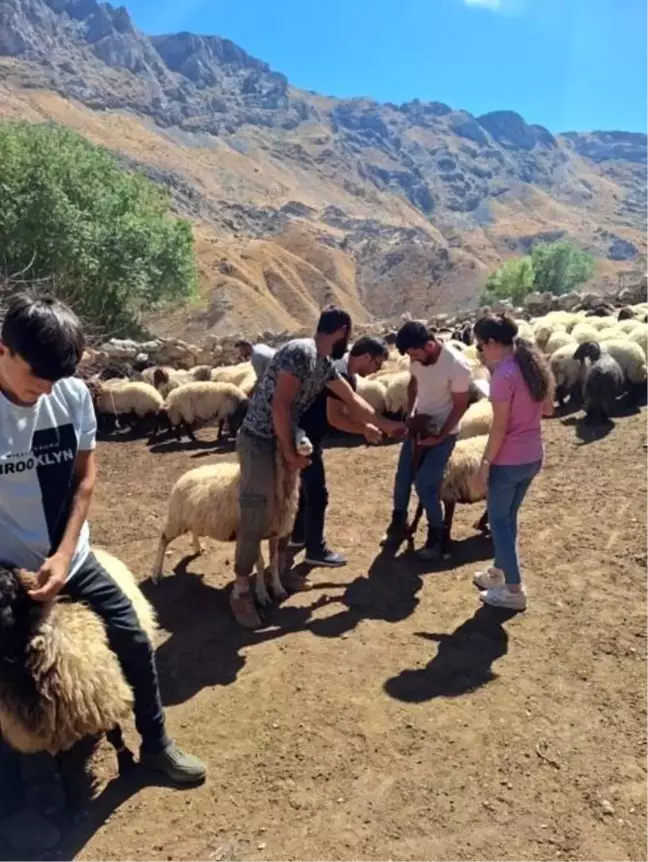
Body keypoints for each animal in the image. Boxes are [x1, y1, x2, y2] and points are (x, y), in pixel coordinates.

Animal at [152, 432, 314, 608]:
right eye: (289, 434)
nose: (307, 444)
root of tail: (185, 476)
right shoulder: (252, 532)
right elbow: (261, 564)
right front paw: (262, 595)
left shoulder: (274, 531)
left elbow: (274, 561)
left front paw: (278, 589)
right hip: (176, 518)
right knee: (163, 539)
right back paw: (156, 573)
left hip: (193, 518)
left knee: (192, 531)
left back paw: (197, 547)